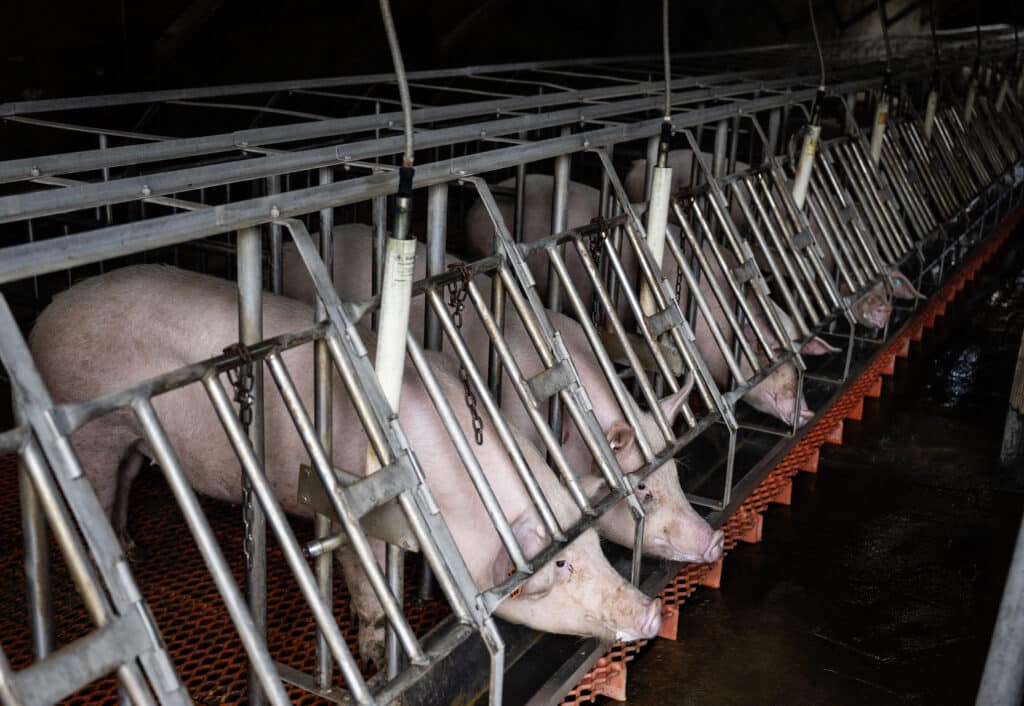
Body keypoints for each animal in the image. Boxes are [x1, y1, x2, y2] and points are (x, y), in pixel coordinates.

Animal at [29, 264, 663, 668]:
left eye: (592, 548)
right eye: (561, 566)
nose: (653, 611)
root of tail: (49, 311)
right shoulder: (353, 513)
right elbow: (367, 586)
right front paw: (380, 656)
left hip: (133, 440)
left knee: (127, 481)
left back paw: (133, 548)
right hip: (92, 429)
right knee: (99, 493)